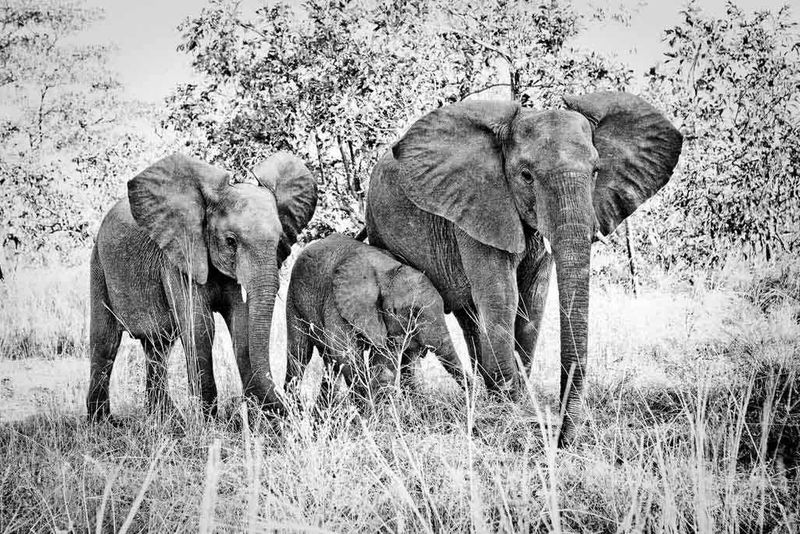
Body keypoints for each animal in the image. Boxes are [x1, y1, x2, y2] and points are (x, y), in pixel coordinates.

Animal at [87, 152, 317, 422]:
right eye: (231, 241)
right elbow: (200, 327)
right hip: (98, 263)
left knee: (158, 346)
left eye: (280, 241)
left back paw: (166, 419)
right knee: (105, 342)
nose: (296, 408)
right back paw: (103, 422)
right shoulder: (178, 257)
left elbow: (241, 327)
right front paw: (209, 422)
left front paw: (254, 418)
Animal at [284, 233, 470, 404]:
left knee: (330, 364)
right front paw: (369, 409)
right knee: (300, 354)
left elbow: (383, 359)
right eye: (412, 313)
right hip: (294, 299)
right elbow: (346, 354)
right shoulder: (336, 303)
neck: (387, 271)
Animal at [365, 91, 682, 446]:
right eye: (526, 176)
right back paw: (417, 402)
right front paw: (510, 411)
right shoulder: (478, 206)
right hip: (380, 229)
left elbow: (533, 300)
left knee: (469, 318)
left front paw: (515, 400)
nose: (561, 439)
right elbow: (503, 297)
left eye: (596, 172)